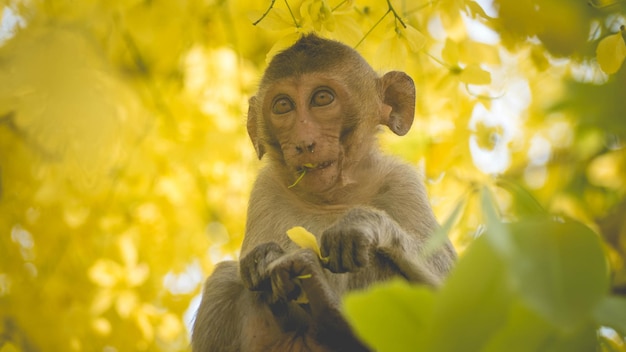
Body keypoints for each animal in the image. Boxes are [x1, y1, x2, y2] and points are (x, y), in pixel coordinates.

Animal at [190, 33, 454, 352]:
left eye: (322, 99)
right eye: (283, 105)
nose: (304, 142)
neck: (333, 197)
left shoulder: (403, 183)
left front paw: (361, 224)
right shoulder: (265, 189)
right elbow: (250, 267)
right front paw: (262, 257)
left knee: (374, 258)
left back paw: (331, 318)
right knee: (225, 279)